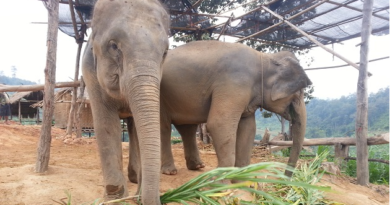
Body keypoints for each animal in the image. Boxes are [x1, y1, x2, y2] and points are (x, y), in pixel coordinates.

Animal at [81, 0, 168, 204]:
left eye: (165, 53)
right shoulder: (90, 73)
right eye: (113, 46)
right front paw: (114, 196)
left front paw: (137, 195)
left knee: (133, 127)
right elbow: (106, 124)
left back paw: (134, 177)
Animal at [129, 40, 312, 183]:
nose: (286, 179)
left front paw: (241, 179)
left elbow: (248, 128)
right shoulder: (234, 83)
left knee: (187, 128)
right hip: (157, 95)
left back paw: (197, 166)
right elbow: (219, 124)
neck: (264, 57)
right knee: (164, 127)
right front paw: (222, 181)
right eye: (298, 94)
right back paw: (170, 171)